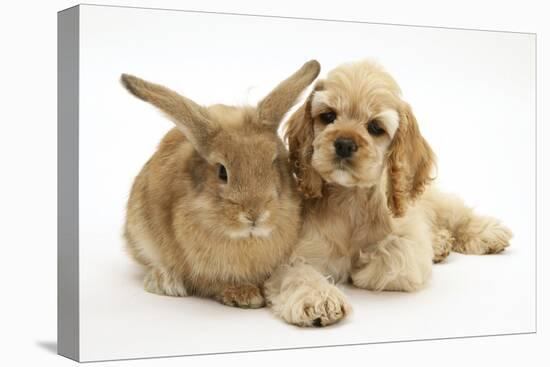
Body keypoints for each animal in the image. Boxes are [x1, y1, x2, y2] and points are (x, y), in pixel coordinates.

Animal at [266, 59, 516, 328]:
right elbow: (298, 273)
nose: (344, 144)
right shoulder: (293, 254)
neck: (350, 201)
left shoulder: (408, 243)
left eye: (375, 127)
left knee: (455, 212)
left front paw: (360, 268)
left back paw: (486, 233)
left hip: (430, 200)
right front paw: (318, 298)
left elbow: (395, 252)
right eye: (328, 116)